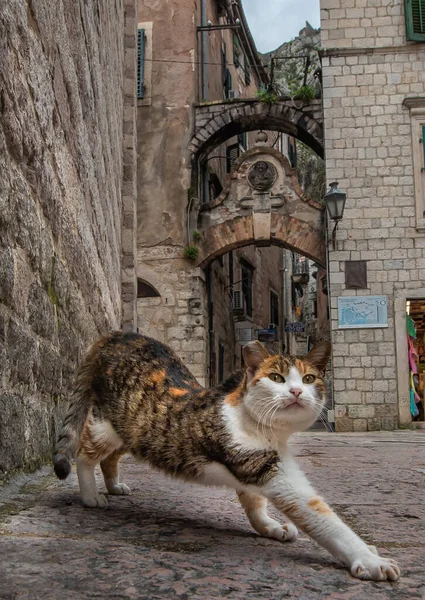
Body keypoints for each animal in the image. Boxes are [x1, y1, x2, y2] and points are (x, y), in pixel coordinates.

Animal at [51, 332, 400, 580]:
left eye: (309, 379)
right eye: (276, 378)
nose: (296, 392)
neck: (266, 429)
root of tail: (117, 335)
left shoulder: (253, 467)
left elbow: (254, 503)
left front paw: (270, 527)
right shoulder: (265, 466)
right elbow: (321, 515)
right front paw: (370, 559)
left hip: (134, 432)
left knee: (110, 457)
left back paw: (114, 486)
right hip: (108, 426)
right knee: (84, 451)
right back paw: (91, 495)